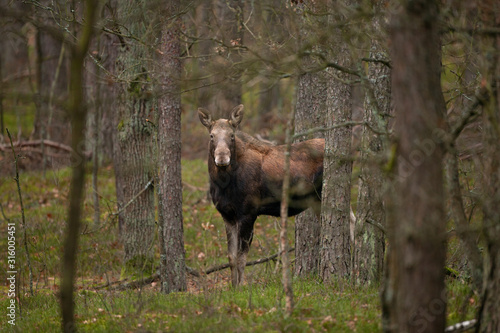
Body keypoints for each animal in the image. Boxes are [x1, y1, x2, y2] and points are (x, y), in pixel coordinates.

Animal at [199, 104, 324, 286]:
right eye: (211, 136)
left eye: (232, 136)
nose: (222, 158)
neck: (222, 184)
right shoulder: (227, 215)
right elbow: (231, 257)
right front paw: (232, 286)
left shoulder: (248, 213)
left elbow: (241, 258)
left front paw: (240, 287)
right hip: (316, 200)